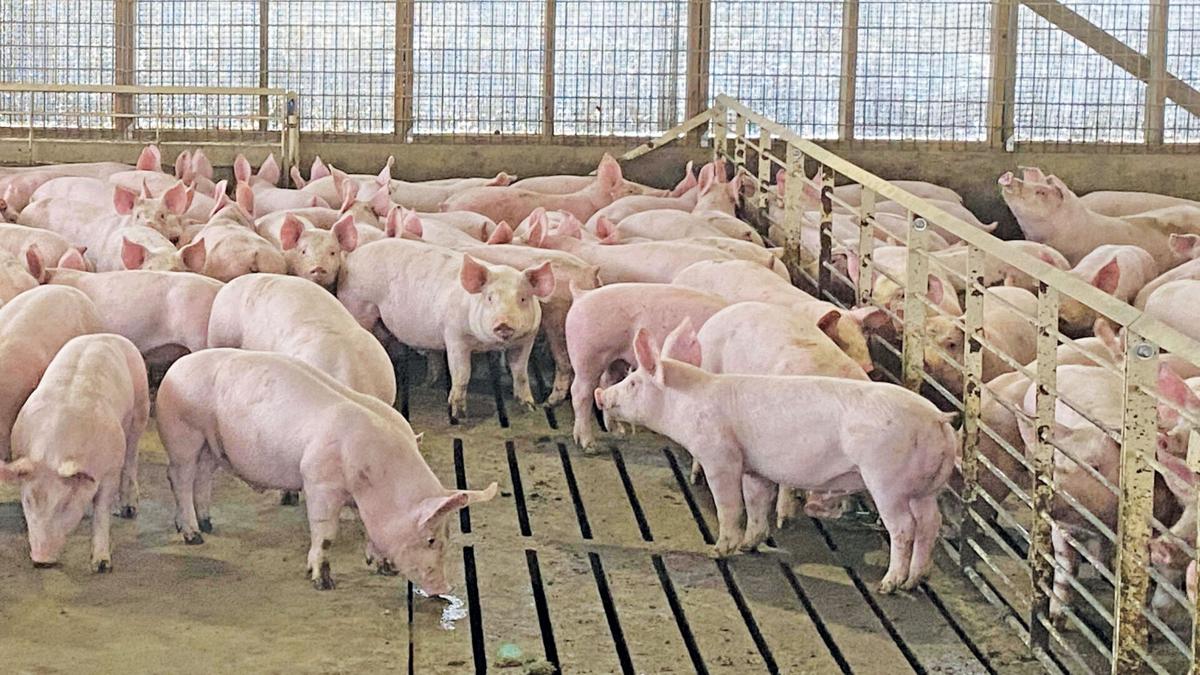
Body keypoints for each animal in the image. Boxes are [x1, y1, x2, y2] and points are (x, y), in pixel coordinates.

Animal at [2, 334, 148, 570]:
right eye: (29, 501)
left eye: (65, 504)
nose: (41, 559)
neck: (51, 456)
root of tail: (107, 335)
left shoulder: (109, 469)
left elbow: (101, 511)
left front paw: (102, 565)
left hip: (141, 410)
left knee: (131, 458)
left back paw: (127, 510)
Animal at [155, 348, 497, 593]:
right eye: (429, 539)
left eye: (448, 535)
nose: (445, 588)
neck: (377, 474)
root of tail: (177, 366)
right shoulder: (319, 482)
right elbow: (325, 534)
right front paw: (323, 582)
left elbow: (368, 529)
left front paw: (382, 567)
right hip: (183, 433)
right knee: (180, 477)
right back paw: (194, 536)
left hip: (211, 444)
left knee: (203, 476)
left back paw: (207, 523)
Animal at [337, 239, 555, 417]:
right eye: (490, 298)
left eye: (523, 299)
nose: (503, 323)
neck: (488, 344)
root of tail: (353, 256)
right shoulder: (455, 336)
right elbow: (462, 373)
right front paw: (459, 414)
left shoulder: (526, 340)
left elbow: (520, 373)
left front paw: (530, 406)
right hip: (359, 305)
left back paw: (426, 384)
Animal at [563, 283, 728, 448]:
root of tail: (581, 295)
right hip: (588, 356)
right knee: (580, 392)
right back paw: (589, 444)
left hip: (615, 359)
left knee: (606, 383)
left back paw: (619, 431)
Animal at [595, 324, 956, 593]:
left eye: (633, 382)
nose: (601, 395)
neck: (687, 403)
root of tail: (938, 419)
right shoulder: (755, 468)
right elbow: (757, 502)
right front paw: (749, 545)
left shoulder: (720, 456)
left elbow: (729, 504)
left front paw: (719, 549)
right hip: (927, 488)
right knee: (931, 523)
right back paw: (914, 580)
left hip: (886, 480)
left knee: (904, 527)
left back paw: (888, 585)